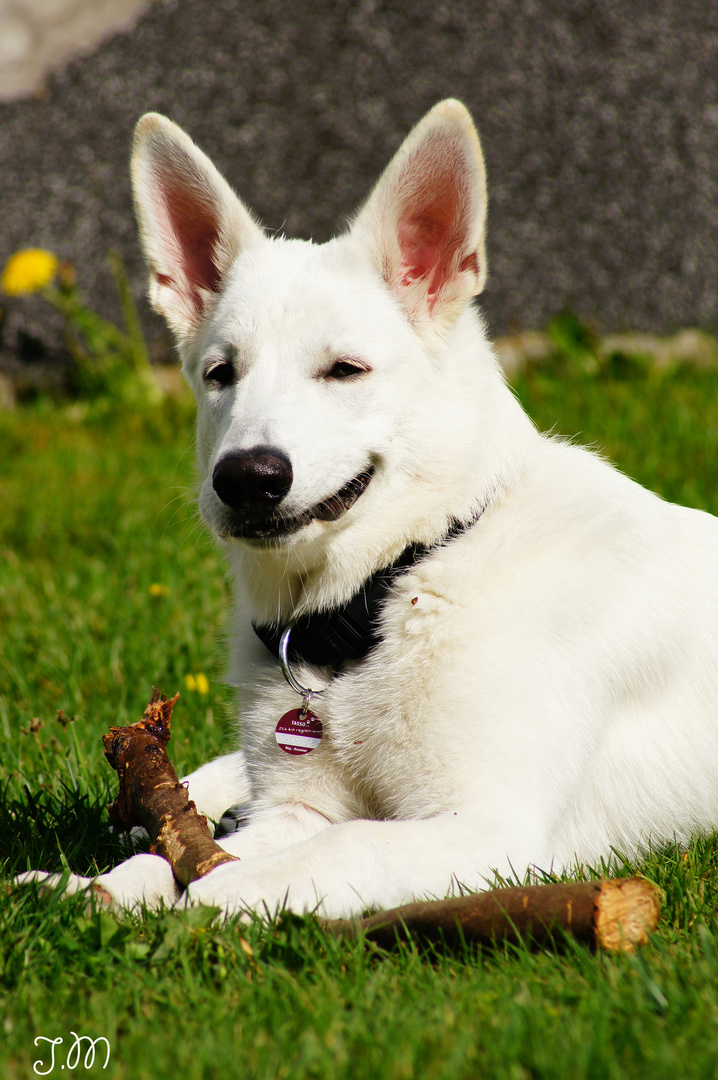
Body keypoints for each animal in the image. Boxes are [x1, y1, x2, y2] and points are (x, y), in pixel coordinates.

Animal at [19, 101, 716, 915]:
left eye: (345, 370)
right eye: (221, 374)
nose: (246, 479)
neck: (388, 592)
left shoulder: (492, 831)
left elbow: (342, 843)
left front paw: (221, 893)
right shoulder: (295, 805)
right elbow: (187, 849)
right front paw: (93, 889)